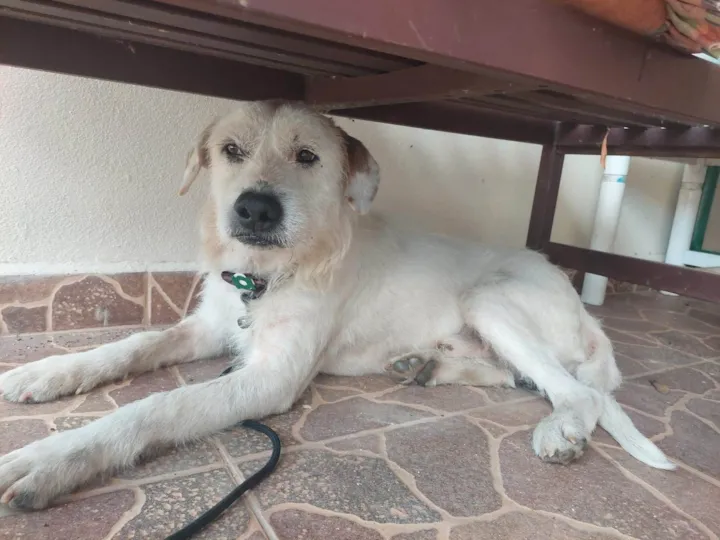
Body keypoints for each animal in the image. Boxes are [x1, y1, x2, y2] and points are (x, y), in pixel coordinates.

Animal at [0, 101, 675, 510]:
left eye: (308, 157)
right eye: (231, 151)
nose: (254, 209)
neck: (265, 277)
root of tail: (584, 311)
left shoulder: (271, 377)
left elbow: (155, 409)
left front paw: (49, 460)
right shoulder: (209, 328)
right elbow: (134, 344)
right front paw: (46, 372)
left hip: (491, 299)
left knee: (578, 393)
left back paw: (559, 429)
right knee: (519, 376)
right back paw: (424, 366)